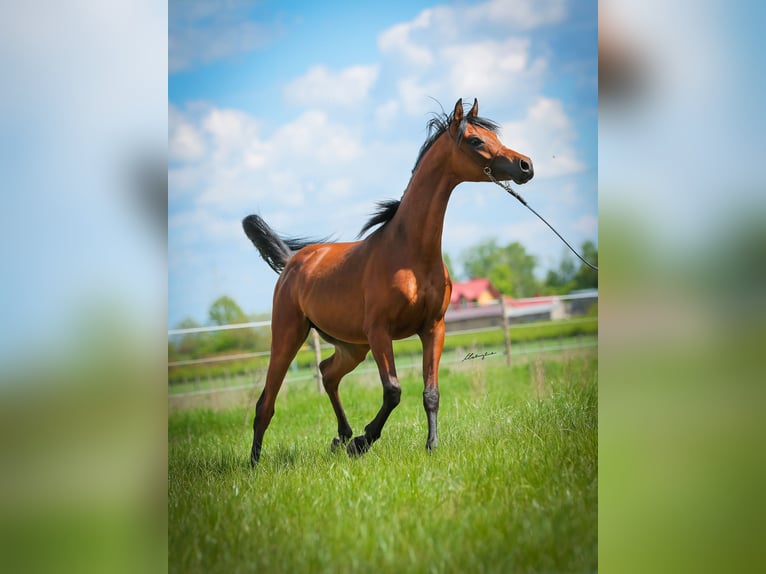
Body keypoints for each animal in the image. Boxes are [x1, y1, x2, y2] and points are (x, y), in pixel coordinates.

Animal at [243, 98, 533, 465]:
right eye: (476, 140)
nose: (526, 165)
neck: (410, 254)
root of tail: (293, 263)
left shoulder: (433, 328)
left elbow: (431, 392)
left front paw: (431, 446)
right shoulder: (380, 331)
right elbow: (393, 390)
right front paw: (363, 442)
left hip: (352, 346)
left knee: (327, 372)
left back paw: (340, 436)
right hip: (288, 336)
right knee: (265, 402)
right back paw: (256, 463)